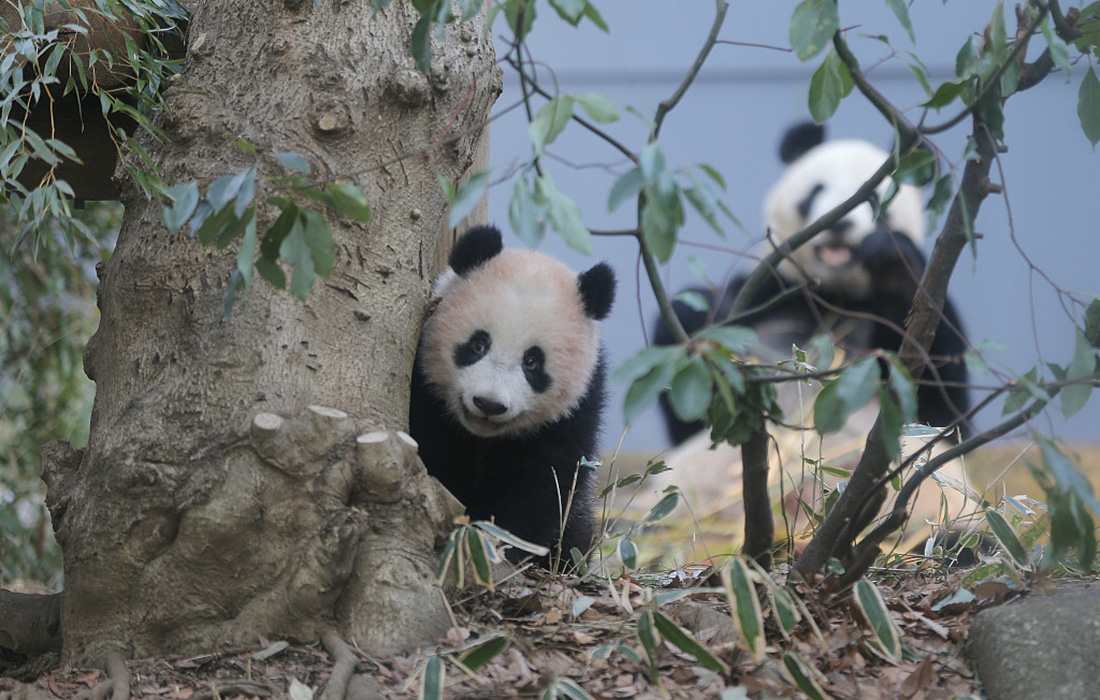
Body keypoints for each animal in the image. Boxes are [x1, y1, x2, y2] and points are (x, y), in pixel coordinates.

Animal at [409, 225, 616, 568]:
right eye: (478, 345)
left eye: (532, 362)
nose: (489, 404)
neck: (480, 434)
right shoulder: (424, 387)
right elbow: (433, 451)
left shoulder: (575, 409)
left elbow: (541, 482)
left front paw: (495, 541)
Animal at [656, 122, 970, 444]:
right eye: (816, 191)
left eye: (875, 200)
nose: (841, 224)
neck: (835, 292)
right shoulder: (772, 287)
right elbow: (694, 414)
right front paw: (700, 323)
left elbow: (943, 409)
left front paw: (891, 268)